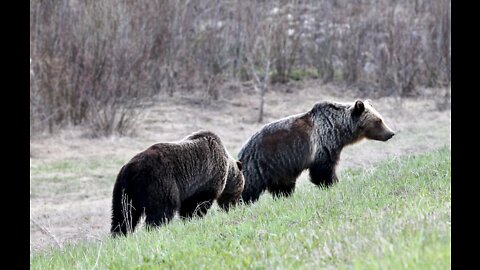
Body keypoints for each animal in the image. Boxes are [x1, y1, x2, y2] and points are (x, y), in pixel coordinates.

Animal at [109, 131, 244, 236]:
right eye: (240, 191)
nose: (233, 206)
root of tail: (131, 168)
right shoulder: (206, 181)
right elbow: (198, 204)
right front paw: (195, 217)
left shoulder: (191, 188)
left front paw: (188, 220)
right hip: (159, 181)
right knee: (162, 210)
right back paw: (155, 229)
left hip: (124, 189)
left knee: (122, 213)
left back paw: (119, 235)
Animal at [238, 100, 396, 204]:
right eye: (379, 121)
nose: (391, 133)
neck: (339, 129)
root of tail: (244, 149)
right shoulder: (323, 145)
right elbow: (323, 170)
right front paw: (332, 183)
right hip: (263, 163)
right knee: (249, 185)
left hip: (280, 169)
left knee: (282, 185)